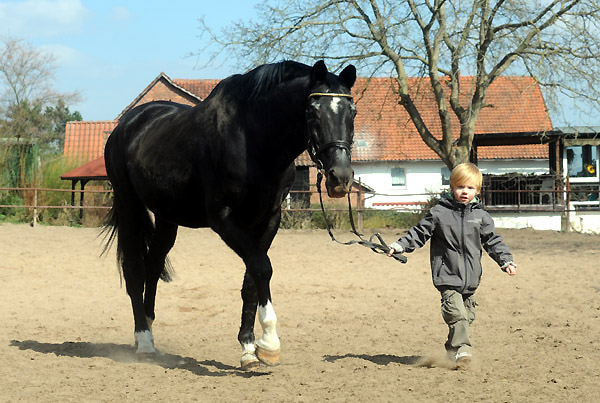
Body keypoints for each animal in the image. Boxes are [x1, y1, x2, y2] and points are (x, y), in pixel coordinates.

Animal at [103, 60, 356, 370]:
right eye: (312, 111)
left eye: (353, 111)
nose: (340, 177)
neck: (254, 142)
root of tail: (126, 124)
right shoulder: (223, 219)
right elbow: (262, 267)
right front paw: (269, 344)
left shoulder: (268, 220)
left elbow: (251, 281)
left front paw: (249, 348)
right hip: (128, 204)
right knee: (134, 270)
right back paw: (144, 342)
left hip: (166, 217)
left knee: (153, 266)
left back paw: (149, 332)